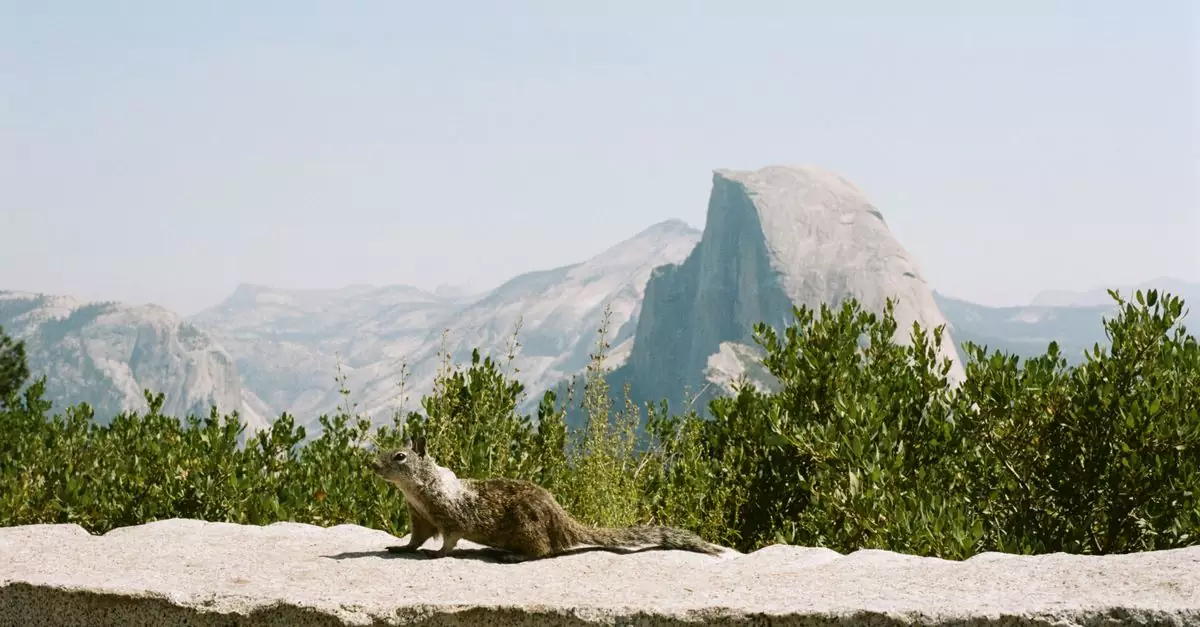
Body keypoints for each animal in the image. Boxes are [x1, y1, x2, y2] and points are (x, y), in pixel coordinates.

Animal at [368, 437, 726, 560]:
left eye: (399, 456)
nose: (372, 464)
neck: (418, 491)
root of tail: (562, 520)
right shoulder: (420, 517)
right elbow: (415, 539)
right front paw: (400, 548)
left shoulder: (449, 516)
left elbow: (450, 540)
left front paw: (436, 554)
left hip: (528, 529)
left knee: (543, 551)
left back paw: (512, 556)